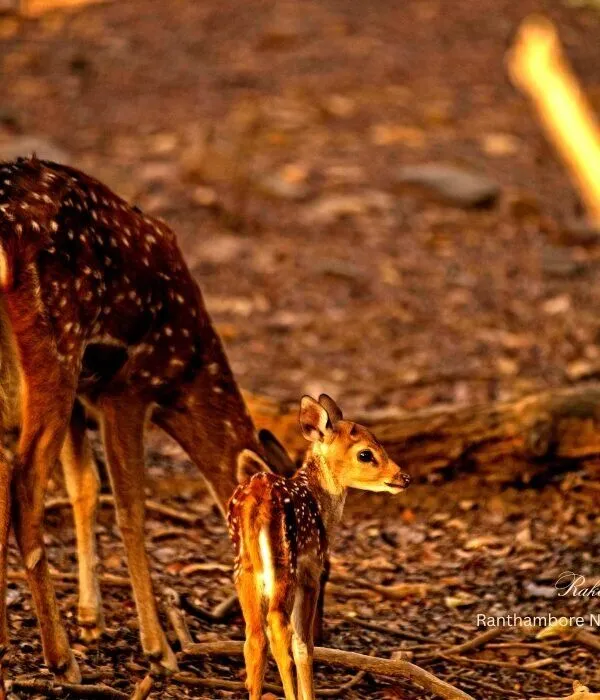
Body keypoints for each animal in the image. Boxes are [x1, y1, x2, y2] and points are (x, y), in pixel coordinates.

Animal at [0, 155, 300, 690]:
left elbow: (84, 486)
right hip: (55, 343)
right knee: (24, 484)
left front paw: (92, 619)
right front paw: (158, 649)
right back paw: (62, 660)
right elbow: (129, 507)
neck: (184, 371)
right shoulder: (128, 388)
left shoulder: (87, 394)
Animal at [228, 394, 411, 700]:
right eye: (365, 454)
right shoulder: (312, 571)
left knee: (254, 635)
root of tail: (255, 503)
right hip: (283, 564)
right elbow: (304, 643)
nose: (404, 478)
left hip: (244, 569)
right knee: (277, 625)